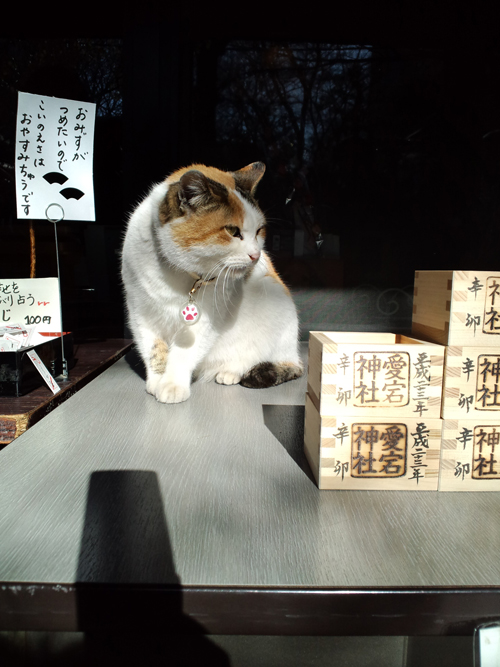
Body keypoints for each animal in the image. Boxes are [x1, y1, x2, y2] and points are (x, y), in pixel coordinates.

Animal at [122, 162, 300, 404]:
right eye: (233, 231)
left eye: (258, 231)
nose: (255, 255)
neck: (178, 275)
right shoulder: (140, 313)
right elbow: (153, 350)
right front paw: (157, 381)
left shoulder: (206, 320)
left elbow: (183, 353)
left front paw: (172, 385)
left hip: (274, 300)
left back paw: (230, 371)